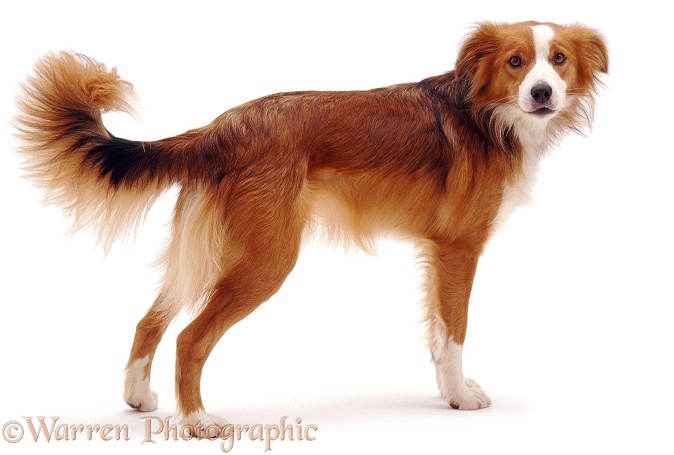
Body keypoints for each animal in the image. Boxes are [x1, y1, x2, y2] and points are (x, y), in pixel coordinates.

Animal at [14, 20, 604, 428]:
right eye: (515, 62)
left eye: (558, 60)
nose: (543, 93)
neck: (489, 116)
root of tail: (222, 126)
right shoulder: (459, 249)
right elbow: (454, 331)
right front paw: (459, 397)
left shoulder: (438, 254)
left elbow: (438, 333)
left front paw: (446, 389)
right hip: (266, 260)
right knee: (188, 338)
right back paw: (198, 421)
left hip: (207, 251)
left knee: (150, 320)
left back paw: (139, 397)